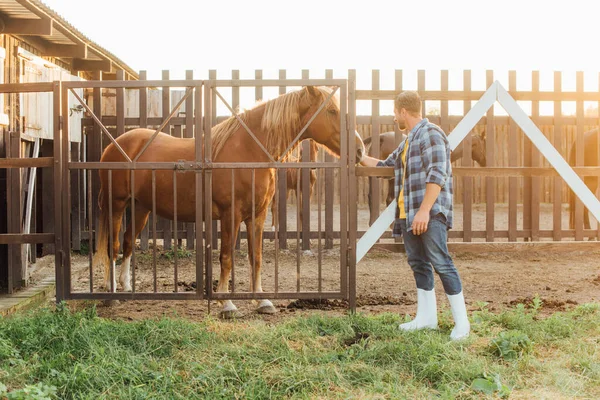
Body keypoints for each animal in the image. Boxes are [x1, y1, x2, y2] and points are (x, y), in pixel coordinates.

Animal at [92, 86, 366, 318]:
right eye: (332, 111)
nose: (360, 150)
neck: (248, 151)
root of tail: (115, 146)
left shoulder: (257, 216)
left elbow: (256, 257)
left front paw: (262, 301)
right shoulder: (229, 215)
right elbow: (226, 258)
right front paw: (227, 303)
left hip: (141, 208)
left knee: (128, 242)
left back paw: (125, 286)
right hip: (117, 205)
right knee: (113, 246)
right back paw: (111, 293)